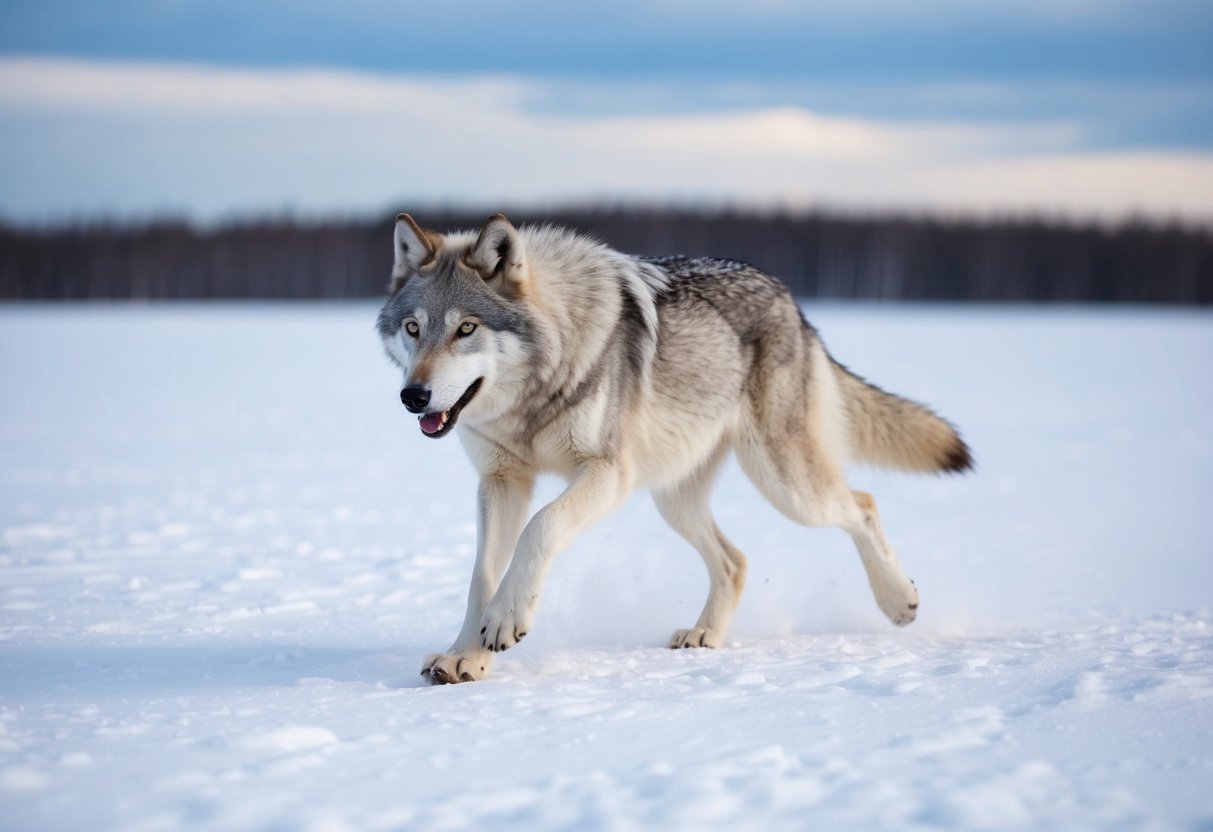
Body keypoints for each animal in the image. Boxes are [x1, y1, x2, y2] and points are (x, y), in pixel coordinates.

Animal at [377, 213, 972, 684]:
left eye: (466, 329)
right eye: (413, 328)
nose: (413, 396)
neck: (540, 387)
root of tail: (793, 304)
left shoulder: (607, 474)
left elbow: (541, 528)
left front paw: (505, 622)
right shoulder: (501, 483)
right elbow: (481, 576)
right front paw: (465, 658)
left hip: (785, 487)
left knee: (863, 504)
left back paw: (899, 602)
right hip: (674, 499)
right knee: (735, 560)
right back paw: (705, 635)